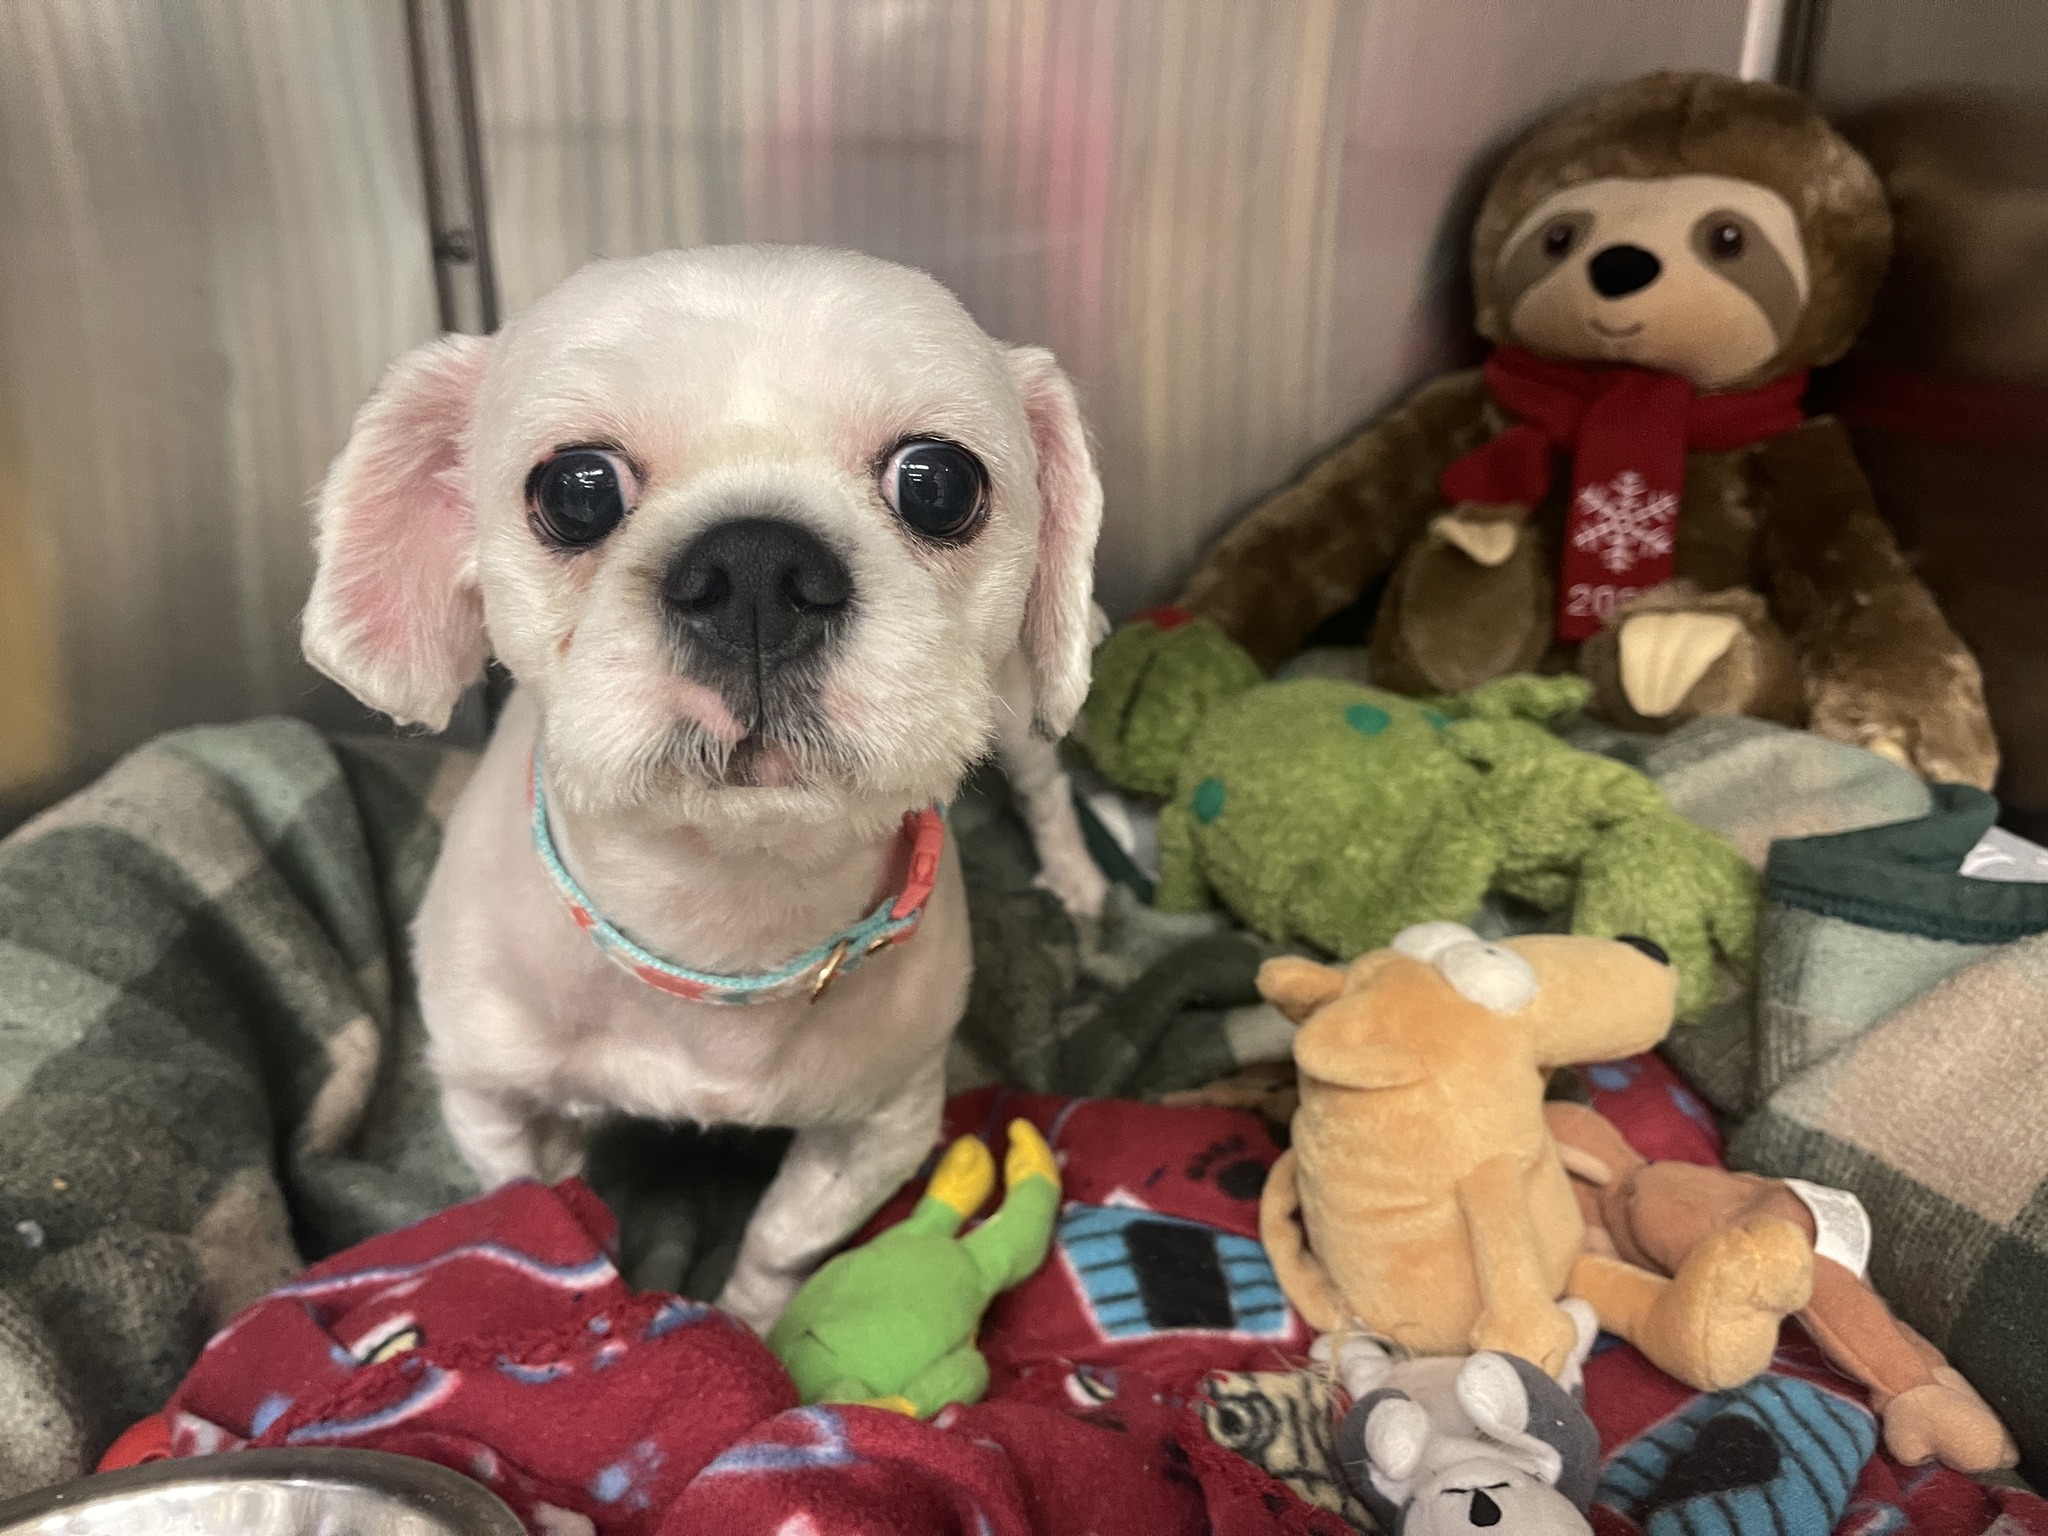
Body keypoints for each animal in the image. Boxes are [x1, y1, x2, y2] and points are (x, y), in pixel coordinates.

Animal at [299, 246, 1105, 1327]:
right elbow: (544, 1205)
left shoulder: (882, 1127)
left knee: (1045, 783)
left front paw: (755, 1331)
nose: (758, 568)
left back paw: (1076, 881)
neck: (723, 914)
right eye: (577, 490)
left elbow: (778, 1242)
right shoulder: (489, 1099)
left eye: (938, 483)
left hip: (1017, 704)